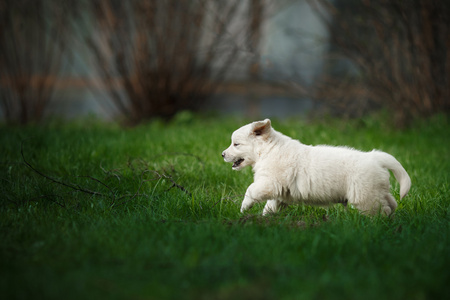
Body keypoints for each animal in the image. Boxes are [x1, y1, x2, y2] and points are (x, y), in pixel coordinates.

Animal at [221, 119, 412, 216]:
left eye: (236, 144)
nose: (222, 154)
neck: (268, 150)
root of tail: (375, 157)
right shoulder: (279, 190)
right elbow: (271, 205)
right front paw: (265, 218)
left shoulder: (269, 182)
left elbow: (250, 190)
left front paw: (244, 208)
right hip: (376, 191)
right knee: (391, 203)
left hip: (365, 196)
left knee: (381, 210)